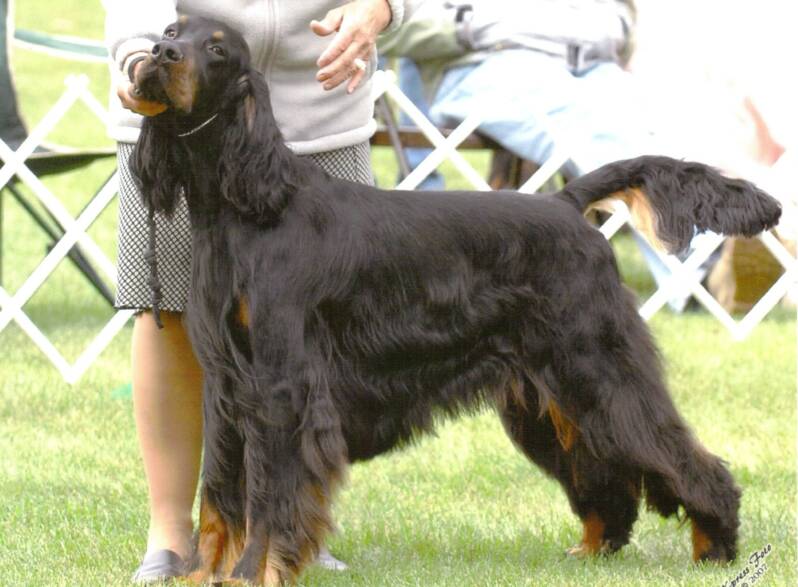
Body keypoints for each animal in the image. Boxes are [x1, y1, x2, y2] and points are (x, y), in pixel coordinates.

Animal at [131, 16, 780, 584]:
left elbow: (268, 499)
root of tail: (566, 203)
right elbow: (218, 494)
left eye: (216, 48)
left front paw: (250, 575)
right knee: (603, 476)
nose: (160, 55)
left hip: (596, 367)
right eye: (170, 31)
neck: (240, 209)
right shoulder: (226, 387)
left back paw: (714, 550)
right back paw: (593, 549)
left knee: (686, 461)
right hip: (546, 395)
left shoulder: (282, 389)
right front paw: (202, 574)